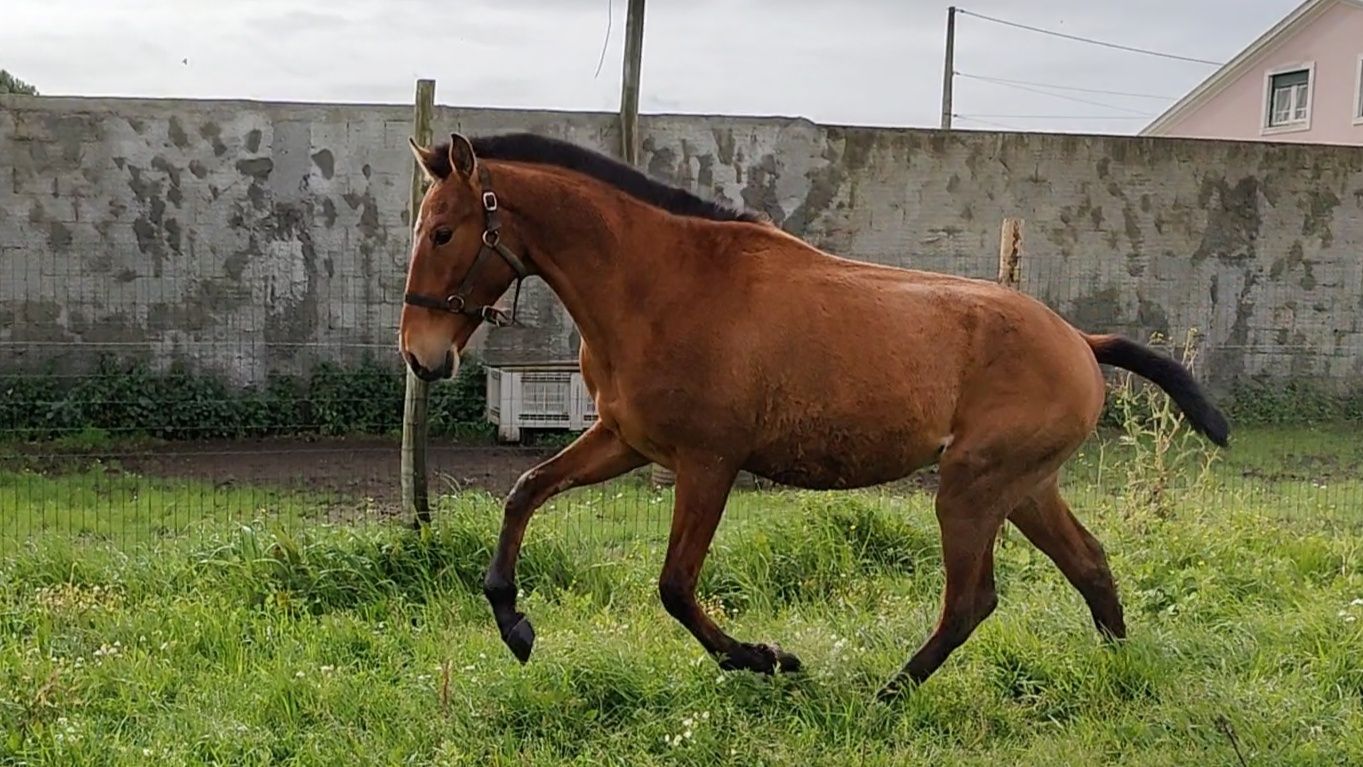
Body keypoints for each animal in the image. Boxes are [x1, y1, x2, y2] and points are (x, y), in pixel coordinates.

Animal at [397, 132, 1237, 702]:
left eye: (442, 231)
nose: (419, 354)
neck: (663, 286)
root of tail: (1079, 341)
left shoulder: (708, 461)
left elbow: (674, 585)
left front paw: (770, 658)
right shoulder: (623, 441)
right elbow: (525, 491)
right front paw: (514, 624)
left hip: (970, 488)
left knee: (972, 599)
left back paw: (886, 694)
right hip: (1025, 487)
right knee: (1089, 566)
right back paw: (1117, 673)